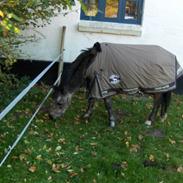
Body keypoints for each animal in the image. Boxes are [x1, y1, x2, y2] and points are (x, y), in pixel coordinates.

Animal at [49, 42, 182, 127]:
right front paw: (86, 115)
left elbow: (107, 104)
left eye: (59, 103)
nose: (51, 117)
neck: (92, 62)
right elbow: (92, 100)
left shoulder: (104, 86)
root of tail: (172, 56)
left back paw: (149, 121)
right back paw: (161, 116)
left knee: (157, 102)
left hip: (157, 87)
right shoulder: (95, 84)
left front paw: (111, 121)